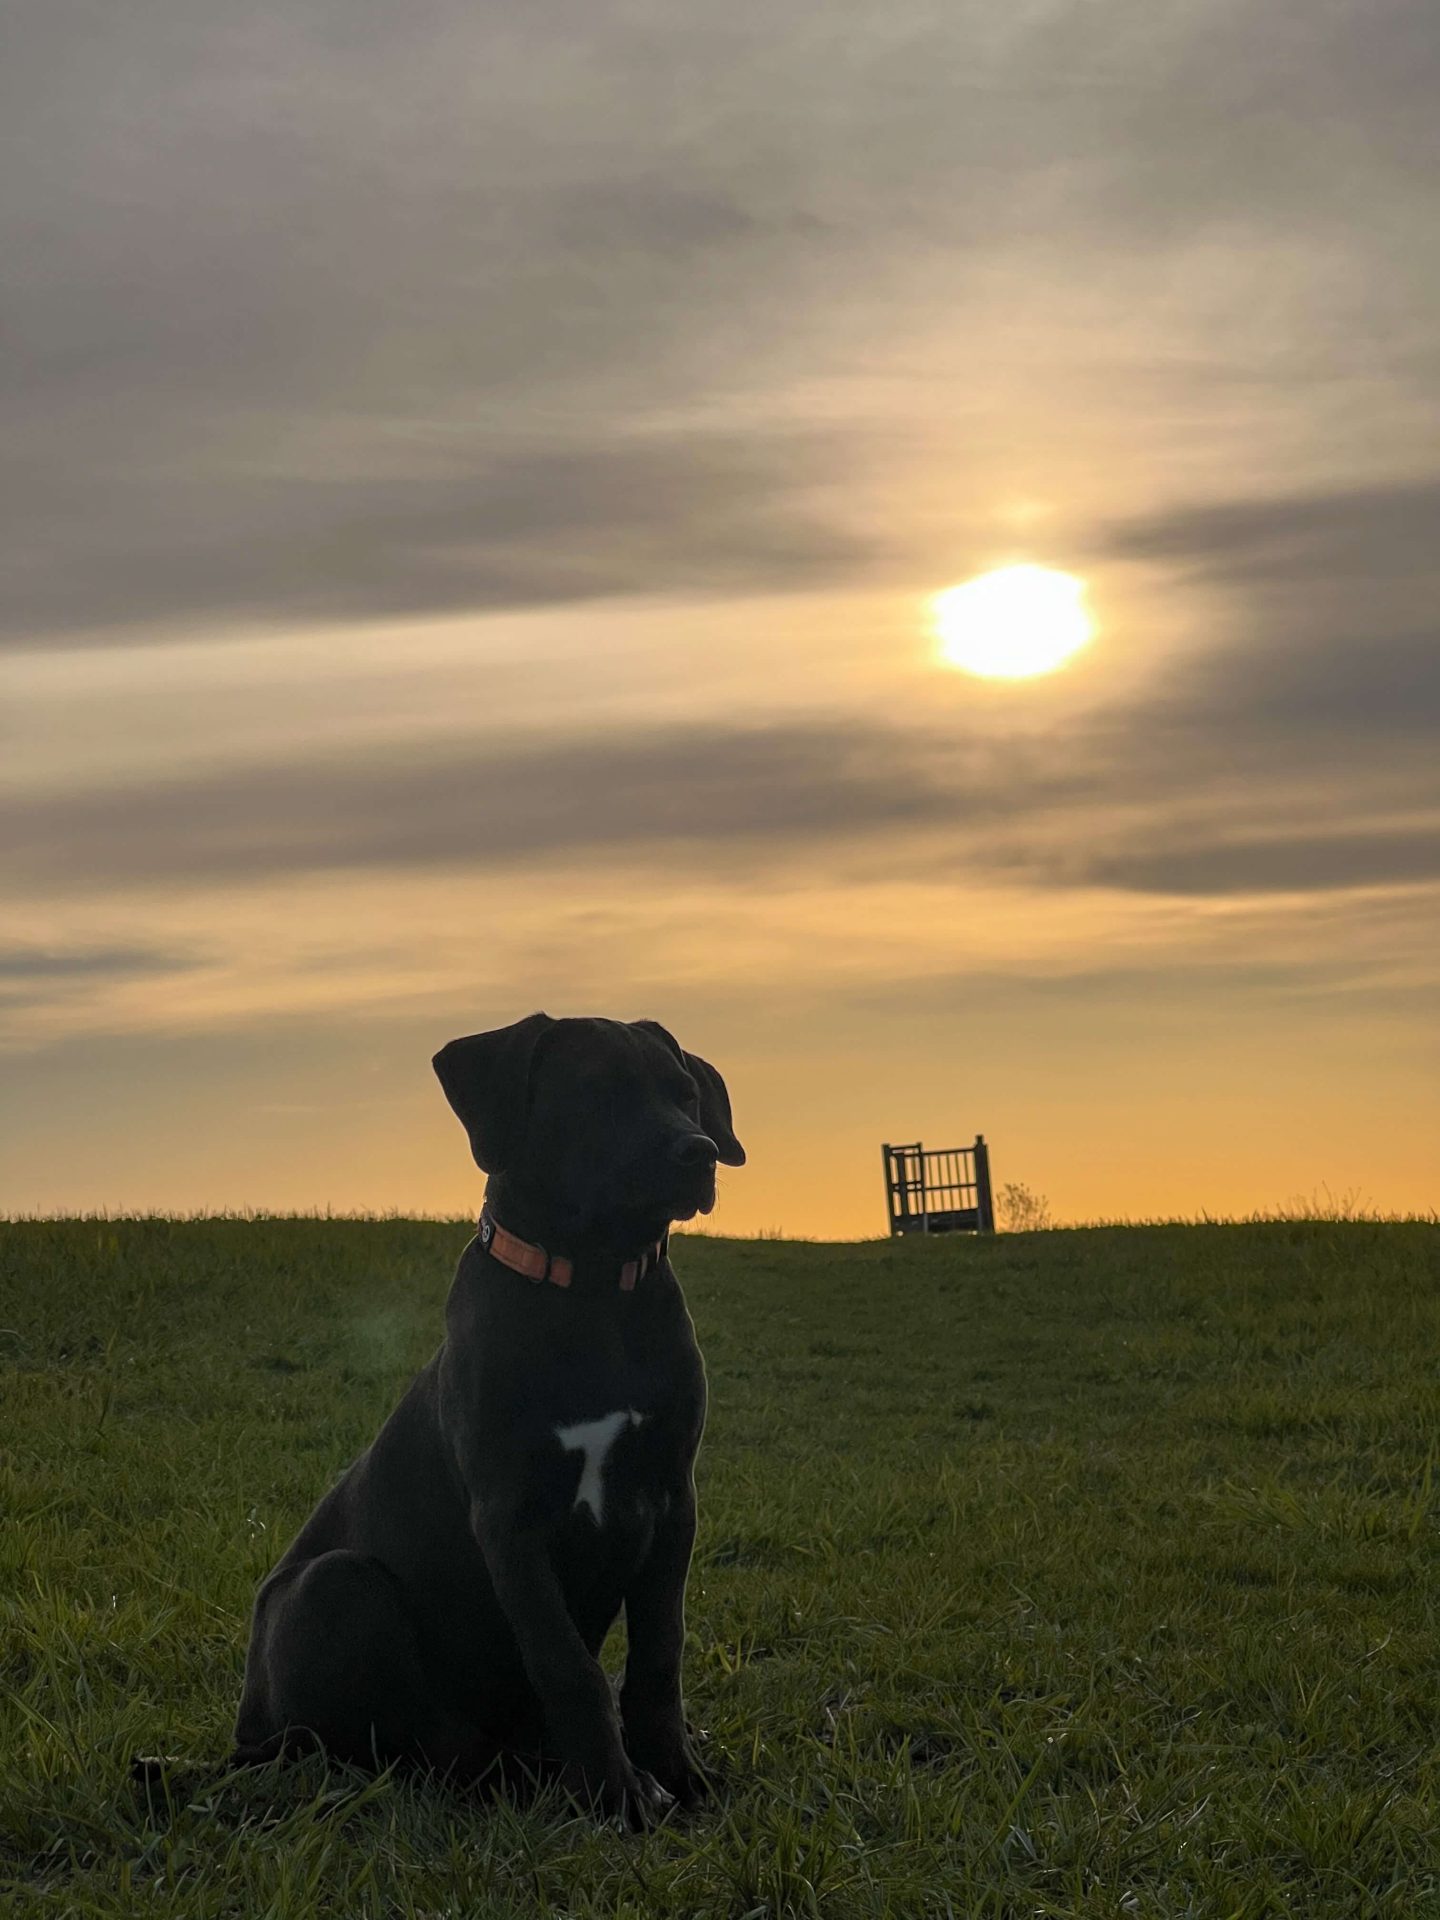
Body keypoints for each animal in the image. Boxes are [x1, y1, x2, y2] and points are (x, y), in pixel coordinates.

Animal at [231, 1013, 748, 1820]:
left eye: (686, 1093)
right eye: (592, 1092)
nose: (696, 1152)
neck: (594, 1291)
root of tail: (246, 1736)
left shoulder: (671, 1500)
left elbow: (660, 1654)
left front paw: (676, 1772)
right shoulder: (510, 1517)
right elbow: (568, 1666)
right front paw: (615, 1792)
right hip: (336, 1589)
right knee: (418, 1747)